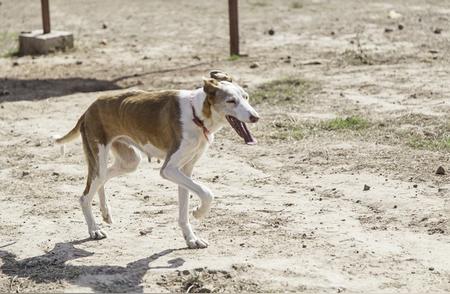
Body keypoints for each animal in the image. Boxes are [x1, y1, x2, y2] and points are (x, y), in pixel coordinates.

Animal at [56, 70, 260, 248]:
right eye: (231, 101)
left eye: (246, 97)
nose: (255, 117)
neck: (197, 115)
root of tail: (89, 108)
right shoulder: (169, 169)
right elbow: (207, 193)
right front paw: (199, 212)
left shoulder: (184, 171)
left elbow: (185, 211)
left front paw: (191, 239)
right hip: (100, 159)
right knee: (84, 196)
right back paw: (94, 229)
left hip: (129, 162)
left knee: (101, 181)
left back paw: (105, 212)